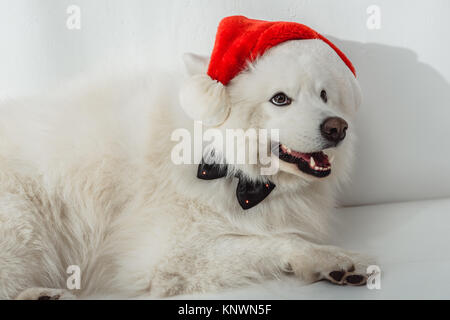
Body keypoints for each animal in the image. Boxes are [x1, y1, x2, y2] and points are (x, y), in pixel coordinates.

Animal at [0, 16, 370, 298]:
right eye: (280, 99)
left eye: (324, 95)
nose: (338, 127)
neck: (222, 159)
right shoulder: (166, 255)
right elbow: (276, 240)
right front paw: (328, 258)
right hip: (22, 223)